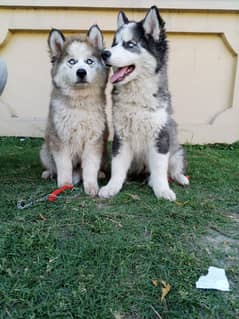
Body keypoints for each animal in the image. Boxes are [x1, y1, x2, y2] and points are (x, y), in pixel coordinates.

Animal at [40, 25, 108, 196]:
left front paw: (91, 186)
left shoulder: (94, 140)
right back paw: (48, 173)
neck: (79, 104)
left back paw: (101, 173)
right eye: (72, 61)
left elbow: (90, 167)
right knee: (52, 165)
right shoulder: (60, 139)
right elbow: (64, 165)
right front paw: (65, 183)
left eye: (89, 61)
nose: (81, 72)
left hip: (104, 151)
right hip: (45, 150)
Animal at [99, 6, 189, 201]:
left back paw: (180, 178)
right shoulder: (121, 136)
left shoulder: (160, 137)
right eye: (115, 43)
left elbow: (160, 169)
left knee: (173, 167)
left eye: (130, 44)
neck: (137, 96)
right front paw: (112, 186)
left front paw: (162, 189)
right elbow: (117, 166)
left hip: (176, 150)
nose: (104, 53)